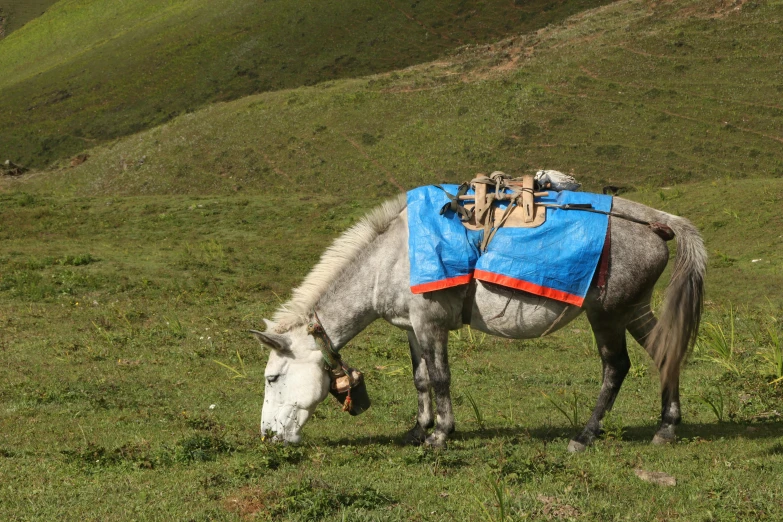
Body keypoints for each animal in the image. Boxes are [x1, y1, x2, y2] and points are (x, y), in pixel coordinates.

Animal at [254, 193, 708, 448]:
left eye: (272, 378)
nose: (269, 437)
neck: (393, 257)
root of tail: (657, 223)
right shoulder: (413, 327)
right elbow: (421, 379)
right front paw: (418, 431)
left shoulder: (431, 323)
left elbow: (440, 378)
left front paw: (441, 435)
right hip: (635, 309)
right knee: (664, 354)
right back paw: (666, 428)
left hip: (607, 314)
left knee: (616, 367)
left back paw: (585, 436)